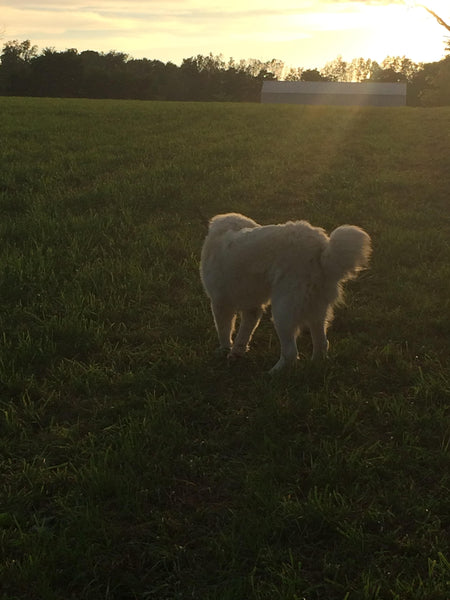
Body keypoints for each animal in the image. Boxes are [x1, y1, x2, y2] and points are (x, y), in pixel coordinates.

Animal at [200, 211, 372, 370]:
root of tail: (321, 250)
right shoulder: (252, 308)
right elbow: (244, 333)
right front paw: (236, 352)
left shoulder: (220, 303)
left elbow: (224, 330)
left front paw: (224, 350)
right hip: (316, 310)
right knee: (322, 343)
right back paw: (315, 365)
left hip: (283, 311)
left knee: (290, 353)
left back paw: (273, 373)